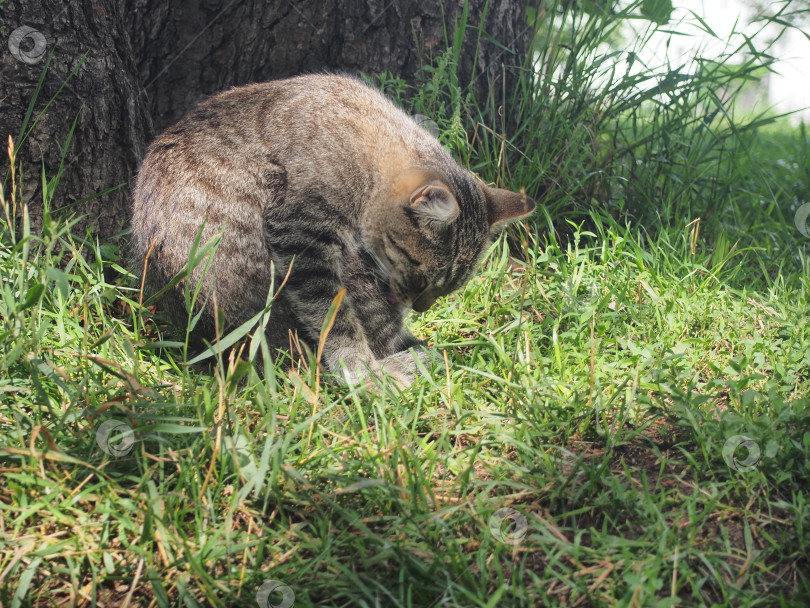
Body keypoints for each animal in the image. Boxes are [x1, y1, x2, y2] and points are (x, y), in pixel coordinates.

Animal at [132, 73, 532, 388]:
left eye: (450, 288)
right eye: (420, 275)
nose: (419, 307)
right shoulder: (301, 237)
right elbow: (334, 319)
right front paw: (360, 367)